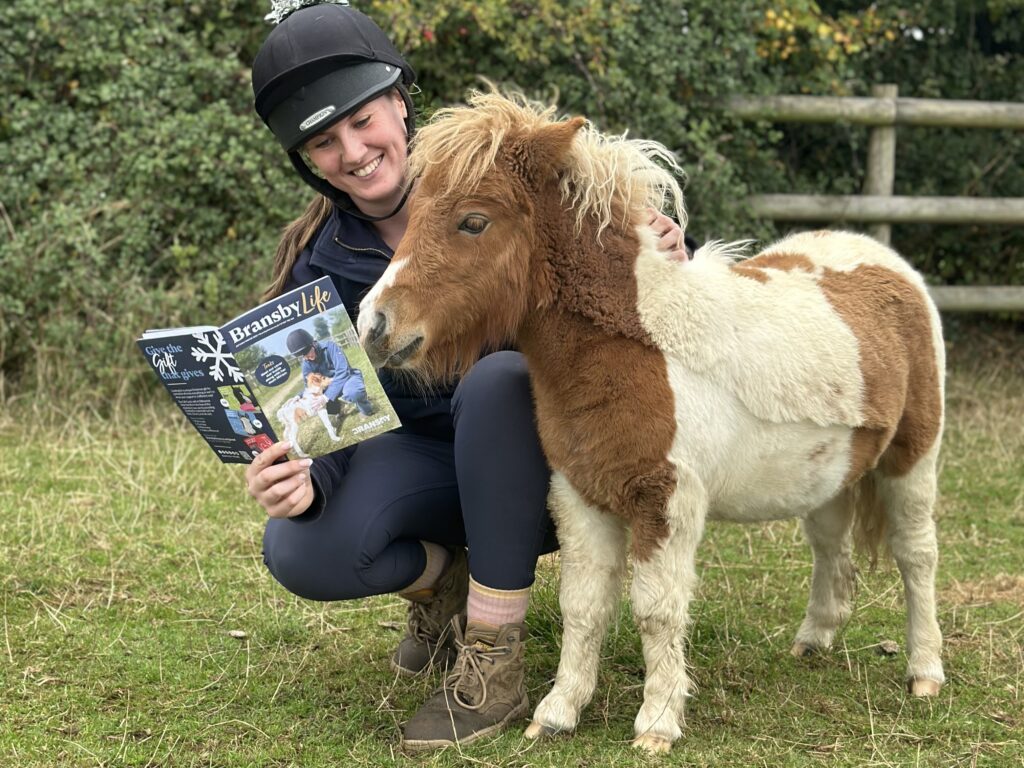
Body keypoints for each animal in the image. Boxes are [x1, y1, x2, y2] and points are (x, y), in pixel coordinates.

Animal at [357, 90, 945, 752]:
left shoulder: (665, 502)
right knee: (830, 546)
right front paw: (558, 711)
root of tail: (888, 263)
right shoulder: (579, 496)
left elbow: (657, 611)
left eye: (473, 221)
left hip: (913, 460)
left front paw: (657, 723)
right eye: (413, 215)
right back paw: (813, 640)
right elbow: (583, 606)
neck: (636, 347)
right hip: (829, 474)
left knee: (916, 555)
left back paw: (925, 672)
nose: (373, 324)